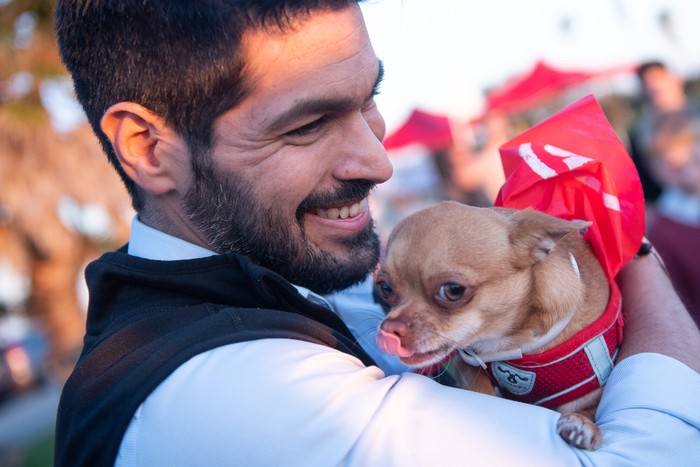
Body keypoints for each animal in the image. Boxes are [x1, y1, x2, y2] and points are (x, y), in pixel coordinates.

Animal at [374, 200, 616, 450]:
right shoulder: (467, 365)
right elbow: (482, 392)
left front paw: (584, 425)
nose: (389, 328)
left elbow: (587, 409)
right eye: (385, 288)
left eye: (453, 290)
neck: (511, 343)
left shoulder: (587, 390)